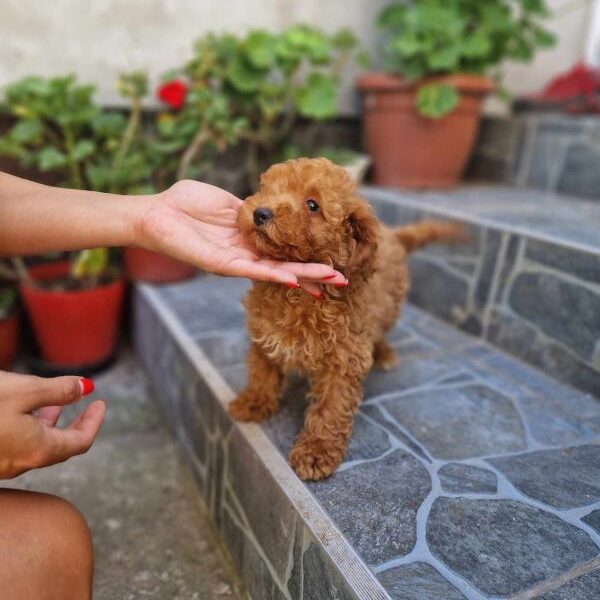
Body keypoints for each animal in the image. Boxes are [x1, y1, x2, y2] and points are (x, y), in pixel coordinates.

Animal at [230, 157, 460, 480]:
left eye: (312, 205)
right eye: (268, 189)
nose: (260, 212)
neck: (297, 295)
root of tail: (393, 234)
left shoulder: (344, 357)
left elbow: (331, 407)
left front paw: (316, 451)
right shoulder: (264, 332)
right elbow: (262, 371)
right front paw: (254, 402)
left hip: (389, 306)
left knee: (381, 330)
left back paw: (383, 353)